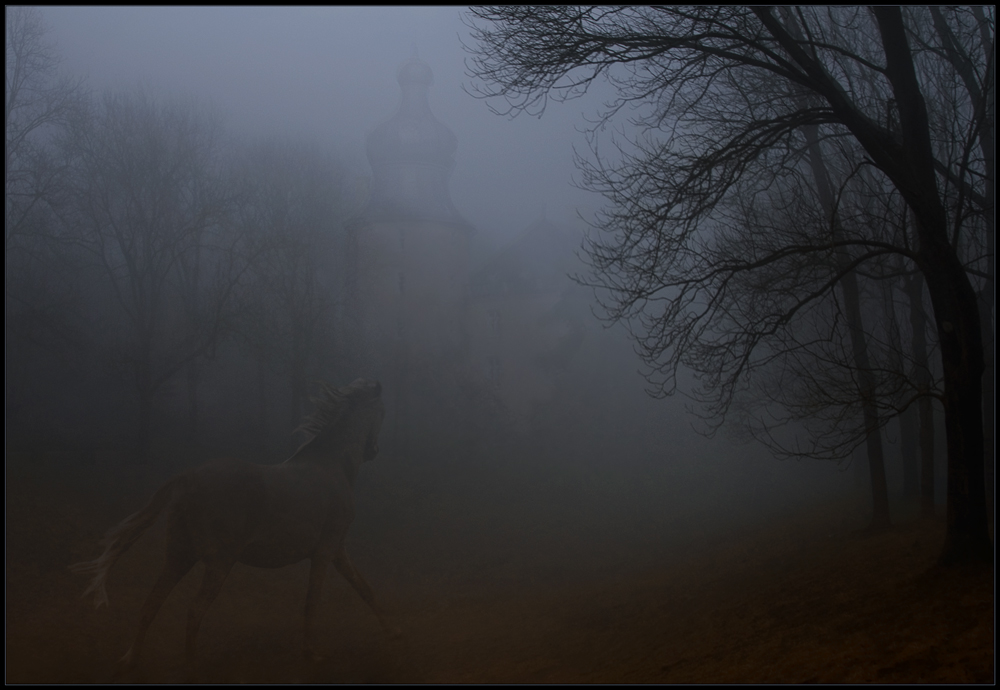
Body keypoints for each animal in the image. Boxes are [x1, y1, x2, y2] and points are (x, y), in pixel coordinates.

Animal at [68, 374, 396, 676]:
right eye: (381, 412)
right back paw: (192, 667)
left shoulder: (338, 551)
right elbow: (312, 601)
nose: (375, 451)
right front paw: (311, 654)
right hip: (219, 561)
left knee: (151, 604)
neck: (332, 465)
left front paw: (392, 632)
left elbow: (365, 589)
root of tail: (188, 478)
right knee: (194, 609)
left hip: (179, 556)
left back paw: (131, 660)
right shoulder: (325, 551)